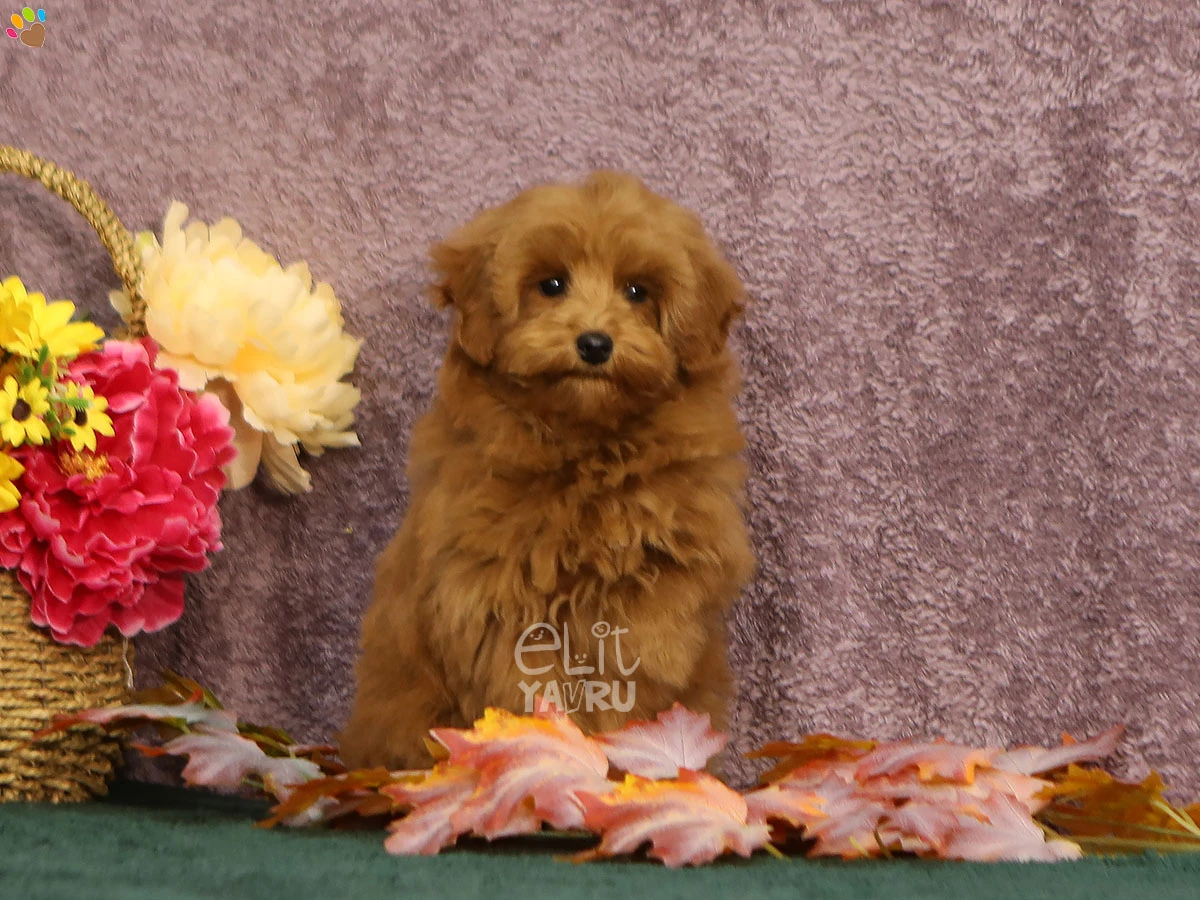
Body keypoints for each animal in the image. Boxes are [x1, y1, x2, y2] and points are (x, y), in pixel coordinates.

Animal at [340, 172, 748, 772]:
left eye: (637, 292)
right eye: (551, 284)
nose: (595, 343)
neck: (586, 451)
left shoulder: (657, 592)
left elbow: (631, 678)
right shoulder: (496, 599)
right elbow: (529, 690)